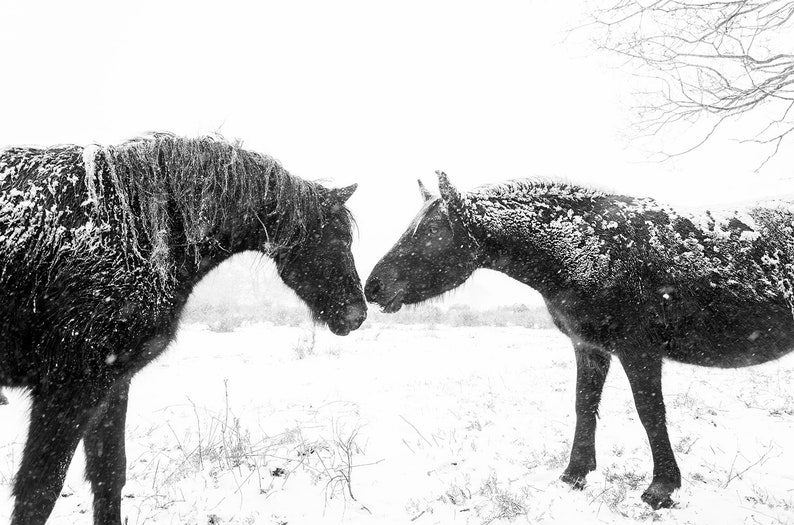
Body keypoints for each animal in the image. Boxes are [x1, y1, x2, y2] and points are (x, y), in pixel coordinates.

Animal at [0, 134, 366, 524]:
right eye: (335, 240)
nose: (357, 314)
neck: (139, 235)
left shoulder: (112, 385)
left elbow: (109, 474)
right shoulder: (68, 390)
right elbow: (39, 492)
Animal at [366, 171, 792, 508]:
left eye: (430, 232)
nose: (372, 287)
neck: (588, 247)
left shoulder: (638, 350)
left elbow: (650, 413)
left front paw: (661, 488)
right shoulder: (589, 347)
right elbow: (584, 405)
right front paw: (574, 474)